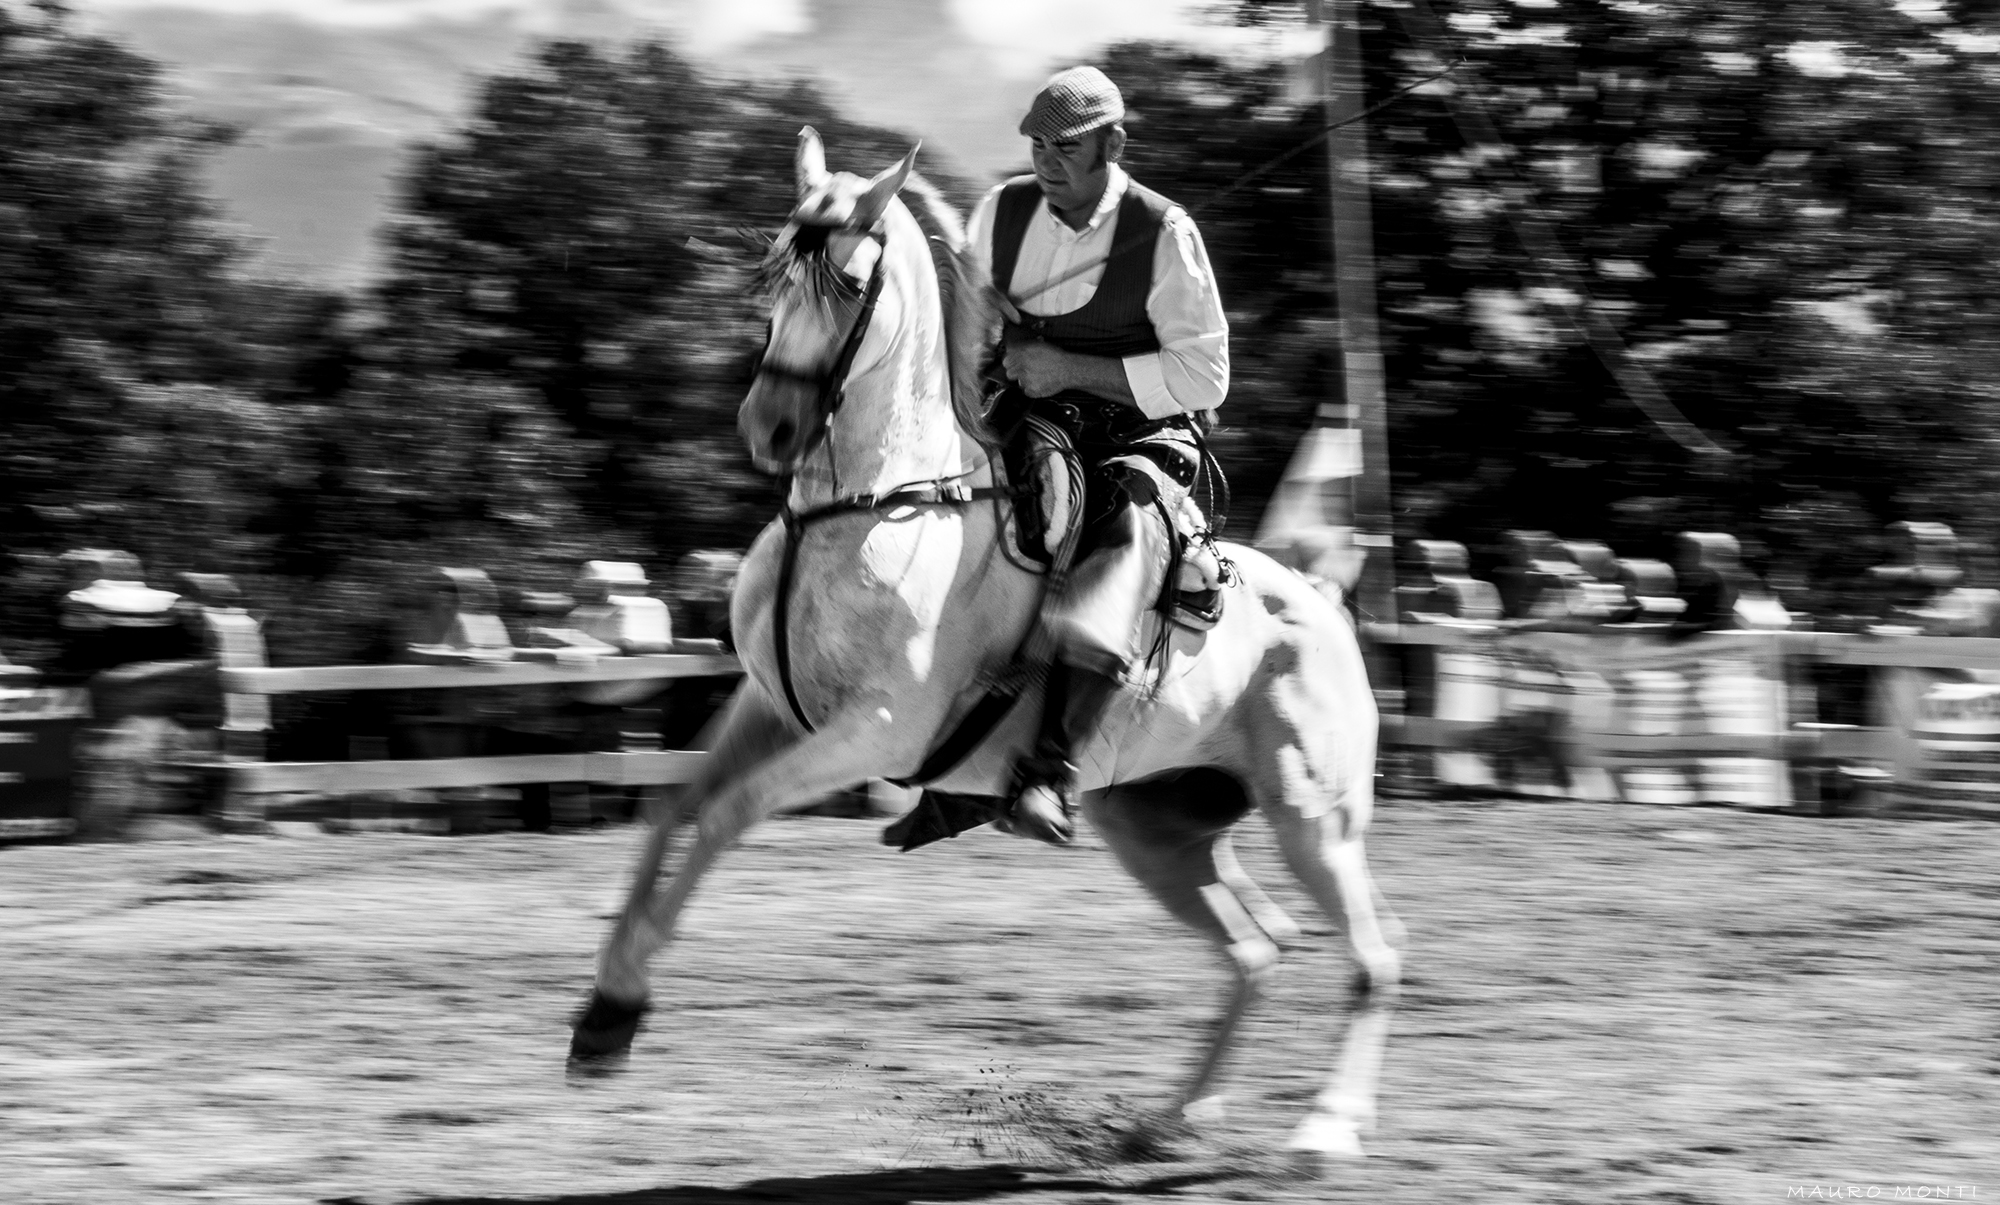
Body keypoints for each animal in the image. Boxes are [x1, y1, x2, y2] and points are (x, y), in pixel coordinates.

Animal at [572, 134, 1400, 1160]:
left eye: (851, 282)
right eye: (773, 276)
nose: (769, 429)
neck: (877, 502)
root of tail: (1322, 601)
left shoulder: (875, 730)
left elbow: (725, 816)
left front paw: (622, 1002)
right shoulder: (767, 706)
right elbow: (669, 812)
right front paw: (605, 1010)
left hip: (1313, 815)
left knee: (1373, 958)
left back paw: (1324, 1128)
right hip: (1156, 826)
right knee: (1256, 947)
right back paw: (1171, 1118)